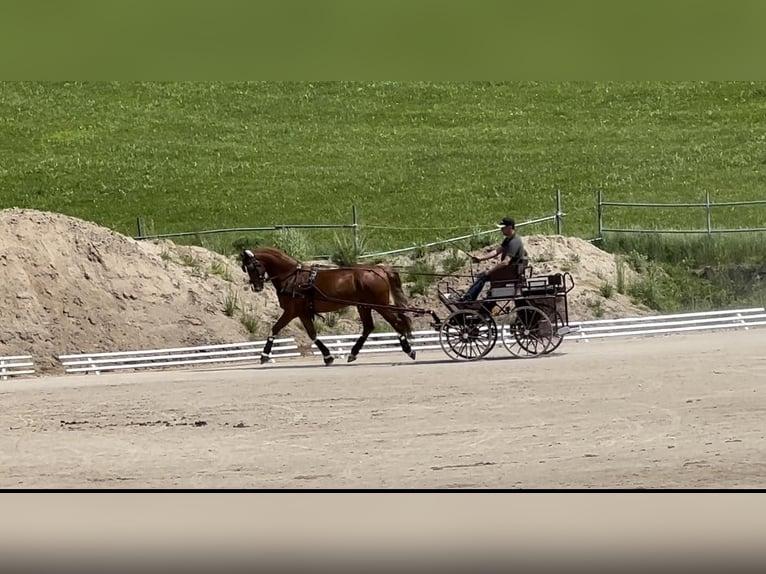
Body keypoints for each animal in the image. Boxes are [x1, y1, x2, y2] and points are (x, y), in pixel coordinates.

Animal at [242, 246, 416, 364]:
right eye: (246, 268)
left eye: (252, 267)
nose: (256, 287)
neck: (292, 276)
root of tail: (379, 268)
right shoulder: (303, 313)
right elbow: (312, 334)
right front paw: (328, 356)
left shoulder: (292, 311)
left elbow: (275, 329)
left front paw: (264, 355)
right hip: (364, 306)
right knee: (368, 327)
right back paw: (353, 353)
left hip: (379, 305)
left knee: (396, 322)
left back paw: (409, 350)